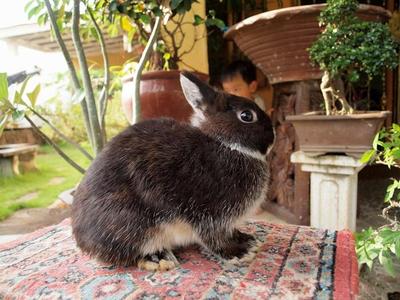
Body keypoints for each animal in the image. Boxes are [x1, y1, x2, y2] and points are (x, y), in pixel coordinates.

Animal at [71, 71, 276, 270]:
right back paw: (159, 259)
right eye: (246, 116)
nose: (273, 136)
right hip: (134, 224)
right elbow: (214, 238)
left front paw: (247, 240)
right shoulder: (209, 214)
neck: (225, 144)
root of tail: (84, 243)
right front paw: (239, 253)